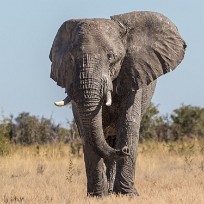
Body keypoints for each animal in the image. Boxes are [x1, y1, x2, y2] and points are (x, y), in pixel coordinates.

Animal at [49, 11, 185, 196]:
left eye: (110, 57)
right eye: (71, 58)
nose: (125, 150)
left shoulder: (134, 74)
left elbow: (128, 123)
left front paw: (128, 195)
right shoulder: (72, 80)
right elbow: (86, 130)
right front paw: (97, 196)